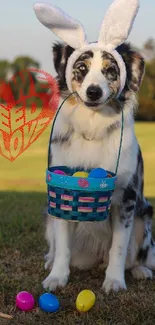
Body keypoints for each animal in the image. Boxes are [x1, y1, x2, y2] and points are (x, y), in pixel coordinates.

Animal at [41, 41, 154, 294]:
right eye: (81, 67)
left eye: (110, 70)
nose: (94, 91)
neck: (92, 126)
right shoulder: (62, 194)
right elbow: (63, 246)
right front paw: (57, 277)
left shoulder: (127, 198)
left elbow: (119, 247)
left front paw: (114, 281)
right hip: (49, 221)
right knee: (55, 245)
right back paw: (50, 260)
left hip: (144, 217)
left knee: (138, 255)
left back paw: (141, 270)